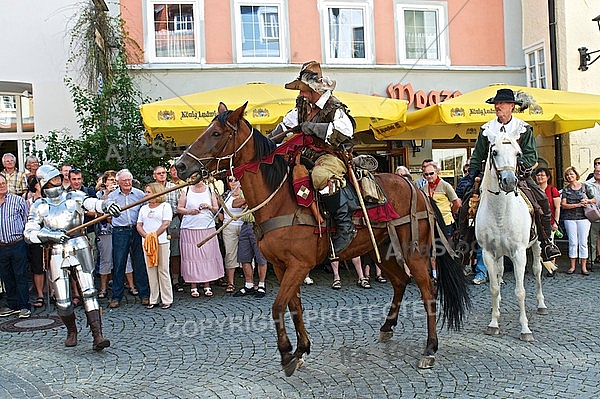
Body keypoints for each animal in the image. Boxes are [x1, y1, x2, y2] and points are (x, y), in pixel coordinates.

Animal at [176, 101, 472, 376]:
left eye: (216, 133)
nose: (180, 165)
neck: (279, 199)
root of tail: (417, 188)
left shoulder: (299, 265)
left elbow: (278, 306)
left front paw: (287, 354)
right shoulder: (283, 266)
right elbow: (294, 306)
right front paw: (301, 350)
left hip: (415, 253)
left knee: (428, 291)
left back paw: (429, 349)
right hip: (382, 250)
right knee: (400, 282)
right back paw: (387, 327)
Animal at [476, 134, 548, 340]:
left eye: (518, 153)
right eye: (494, 152)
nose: (509, 181)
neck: (500, 212)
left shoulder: (519, 253)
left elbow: (520, 291)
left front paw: (525, 328)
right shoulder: (488, 253)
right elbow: (493, 288)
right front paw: (493, 323)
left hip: (537, 244)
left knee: (538, 270)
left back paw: (541, 305)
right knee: (500, 274)